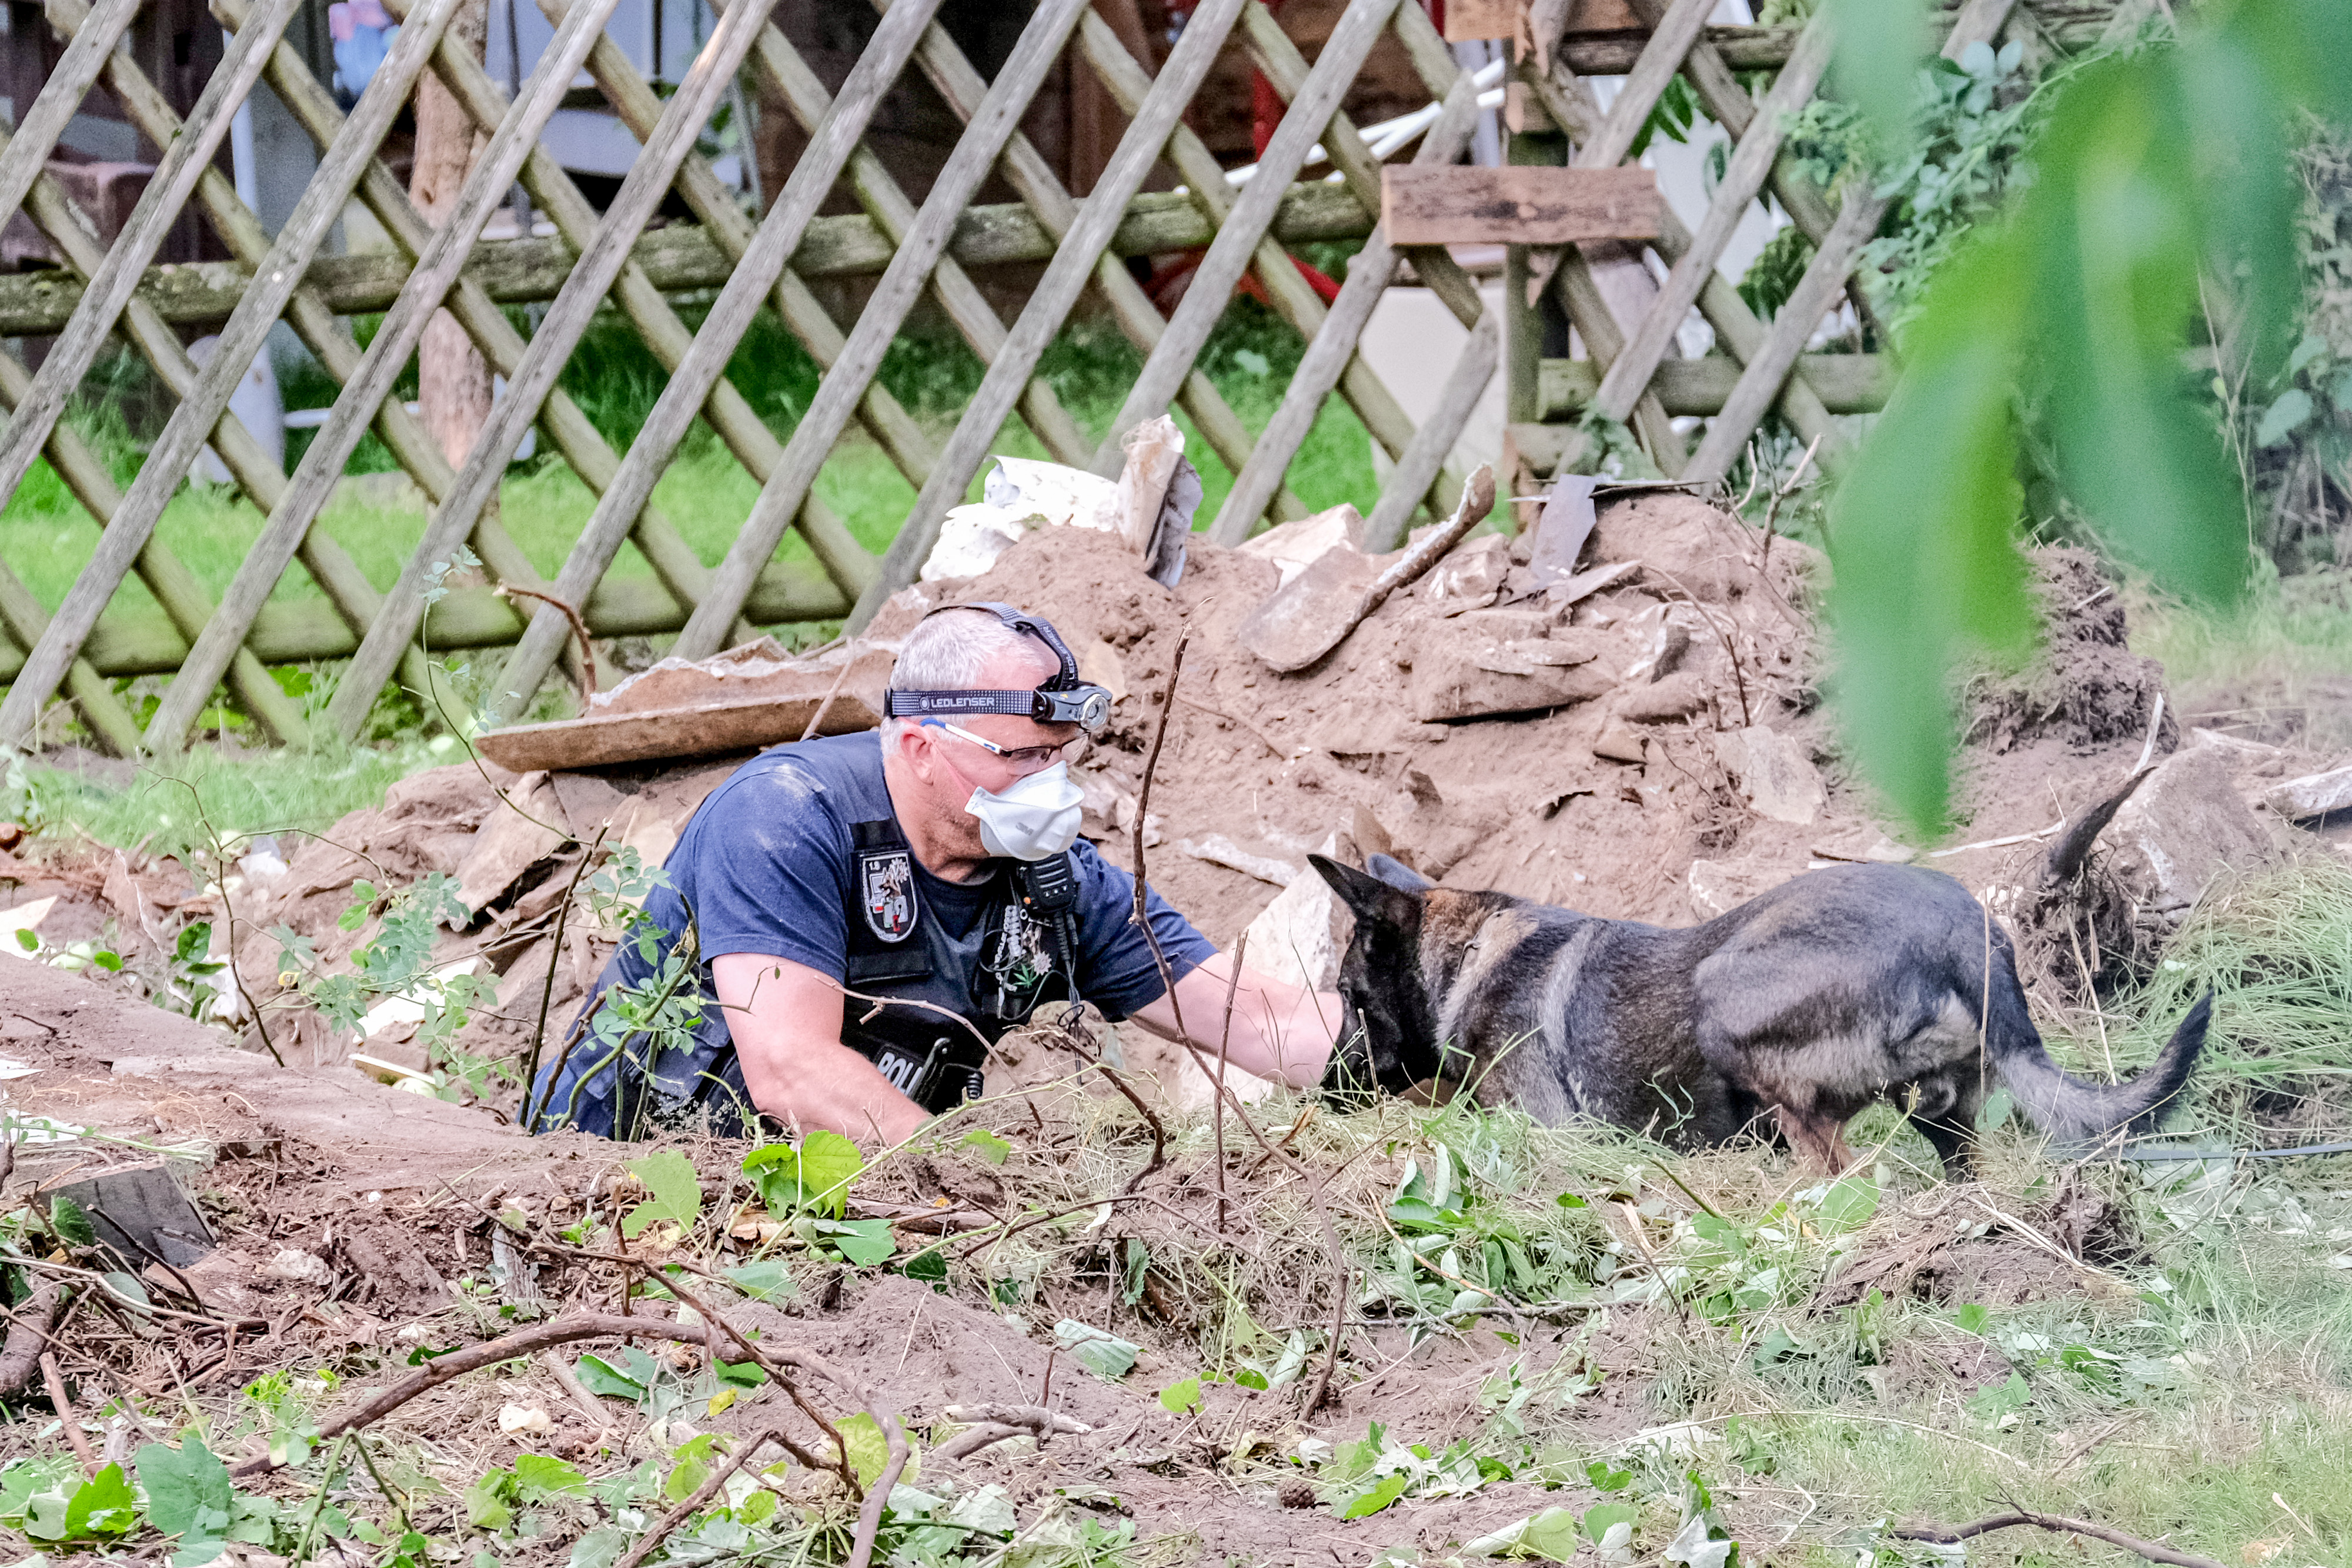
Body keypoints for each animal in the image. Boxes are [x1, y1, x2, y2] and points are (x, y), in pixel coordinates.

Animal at [1317, 851, 2211, 1171]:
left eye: (1347, 998)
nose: (1322, 1094)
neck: (1470, 953)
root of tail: (1963, 928)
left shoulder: (1555, 1131)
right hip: (1944, 1116)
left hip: (1725, 999)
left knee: (1840, 1173)